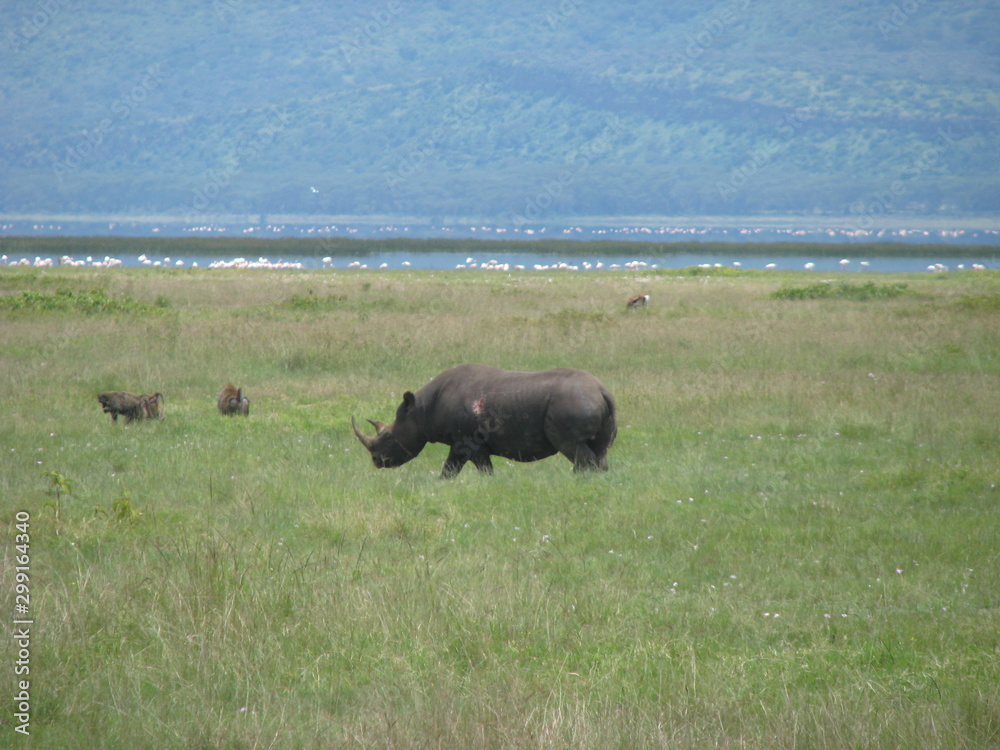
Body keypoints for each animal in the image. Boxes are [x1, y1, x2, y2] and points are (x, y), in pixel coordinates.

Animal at [352, 364, 617, 478]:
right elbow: (451, 469)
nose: (377, 461)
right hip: (586, 400)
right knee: (599, 450)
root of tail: (602, 390)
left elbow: (474, 469)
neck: (421, 410)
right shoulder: (462, 442)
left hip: (572, 402)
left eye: (389, 437)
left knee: (572, 447)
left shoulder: (468, 442)